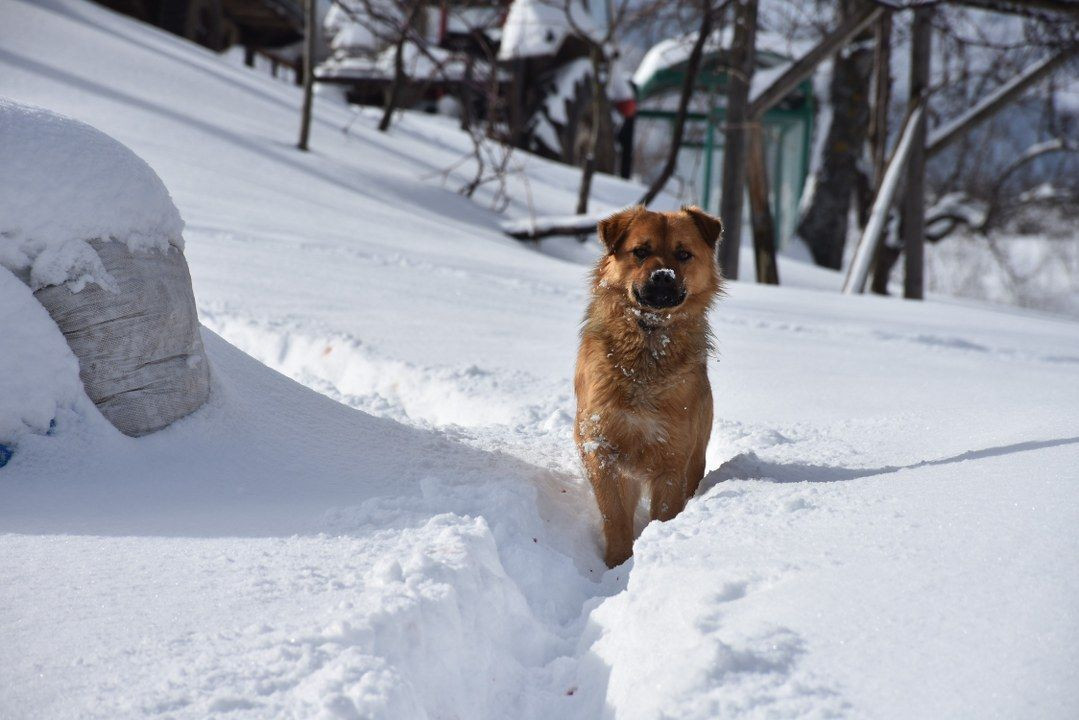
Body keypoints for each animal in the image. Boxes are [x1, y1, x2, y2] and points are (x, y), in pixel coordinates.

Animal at [578, 204, 720, 569]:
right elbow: (614, 516)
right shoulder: (600, 446)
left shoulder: (672, 457)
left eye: (683, 254)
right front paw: (618, 564)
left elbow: (664, 513)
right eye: (640, 251)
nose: (663, 277)